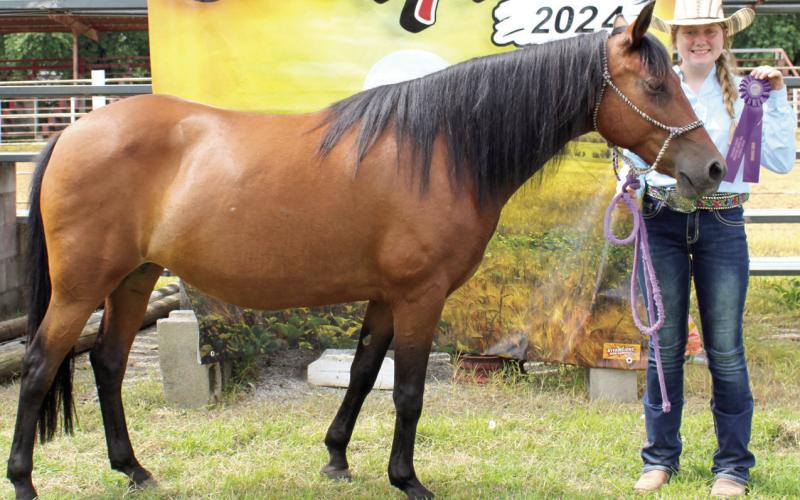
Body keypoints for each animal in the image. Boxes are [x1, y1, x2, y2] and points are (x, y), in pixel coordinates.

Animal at [7, 5, 726, 499]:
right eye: (656, 88)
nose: (713, 168)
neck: (442, 150)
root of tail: (73, 131)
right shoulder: (419, 295)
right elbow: (406, 390)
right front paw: (407, 479)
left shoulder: (385, 295)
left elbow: (360, 375)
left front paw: (337, 458)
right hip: (81, 287)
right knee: (42, 366)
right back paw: (24, 480)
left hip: (133, 278)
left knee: (105, 365)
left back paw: (133, 469)